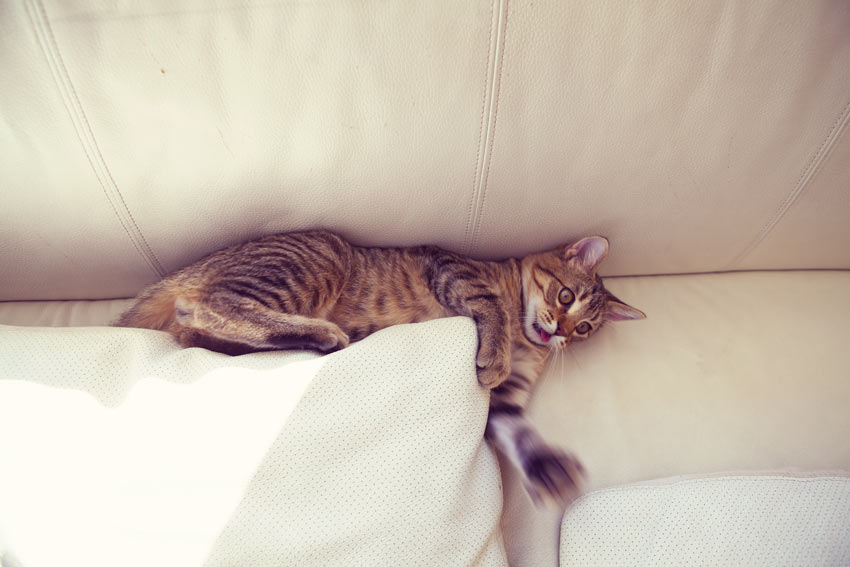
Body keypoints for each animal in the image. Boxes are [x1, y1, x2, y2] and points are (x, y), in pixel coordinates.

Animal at [114, 231, 644, 506]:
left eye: (585, 329)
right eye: (566, 296)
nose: (560, 333)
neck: (523, 335)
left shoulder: (505, 403)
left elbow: (521, 432)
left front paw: (545, 465)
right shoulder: (454, 269)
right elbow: (488, 304)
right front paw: (492, 352)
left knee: (192, 329)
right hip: (314, 262)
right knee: (203, 307)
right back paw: (323, 334)